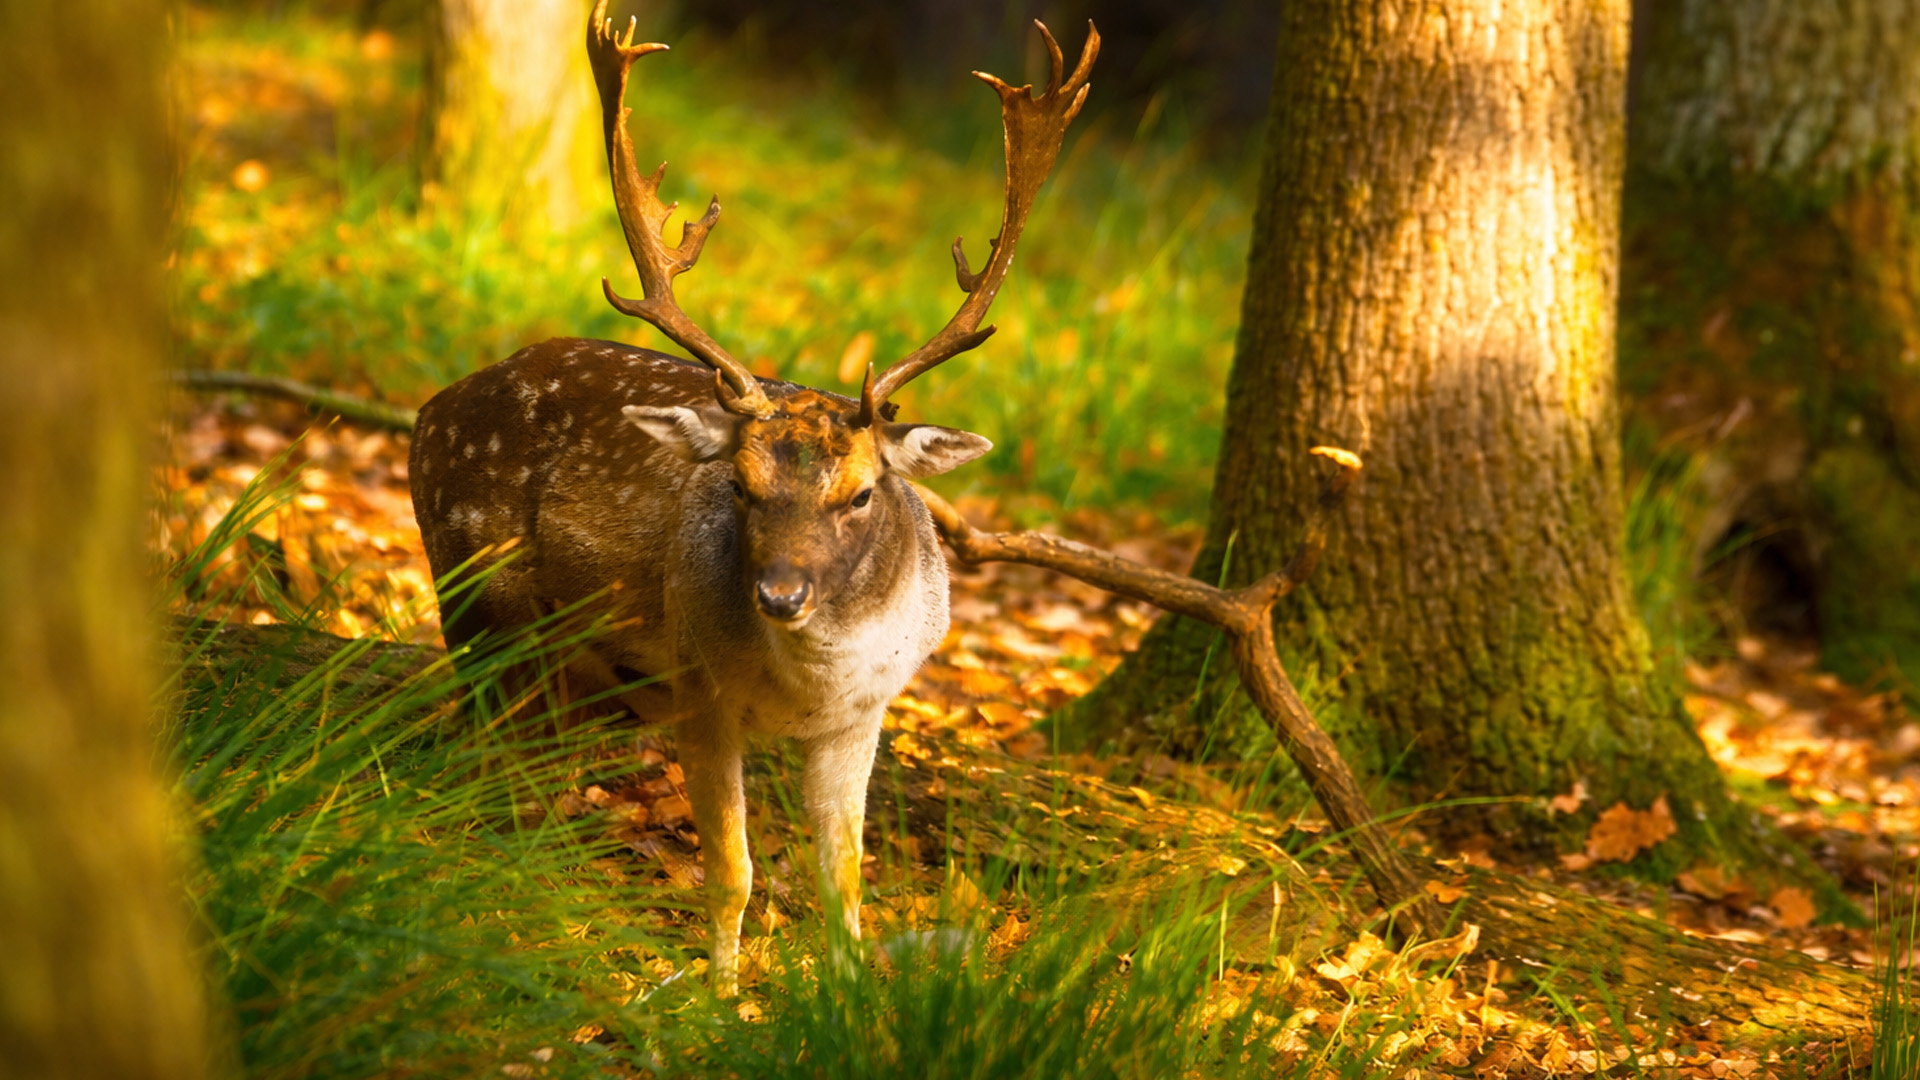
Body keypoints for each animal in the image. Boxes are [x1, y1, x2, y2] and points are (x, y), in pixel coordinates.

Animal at [409, 0, 1096, 995]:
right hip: (474, 594)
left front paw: (845, 1000)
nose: (780, 593)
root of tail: (427, 409)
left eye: (861, 494)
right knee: (478, 743)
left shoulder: (864, 716)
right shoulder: (700, 691)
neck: (808, 687)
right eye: (739, 484)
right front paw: (723, 1001)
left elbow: (842, 878)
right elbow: (731, 870)